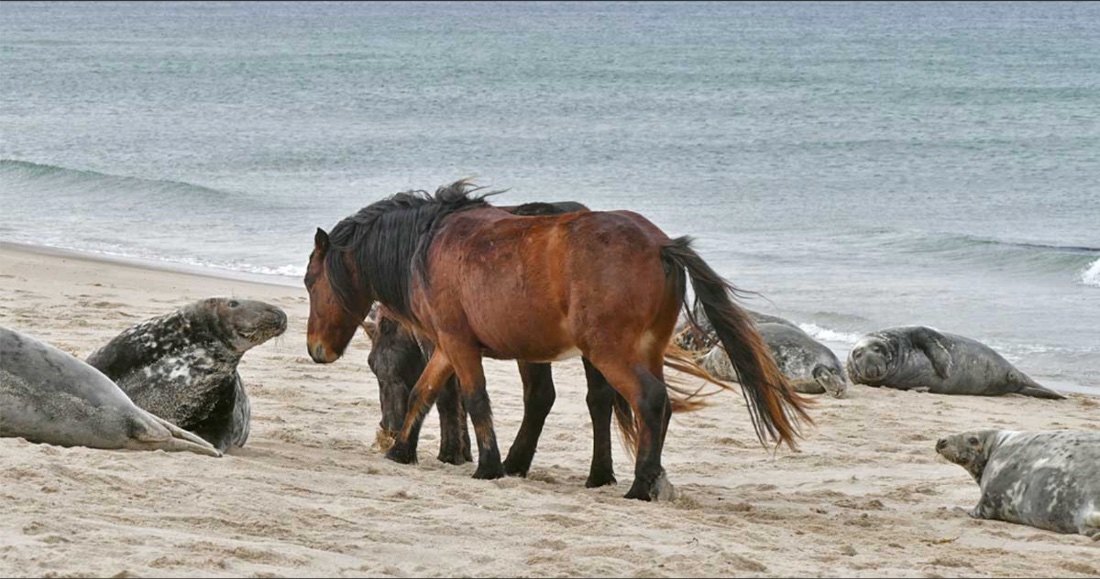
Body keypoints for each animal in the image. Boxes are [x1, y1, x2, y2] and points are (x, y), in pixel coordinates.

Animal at [305, 180, 811, 501]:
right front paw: (402, 452)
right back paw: (635, 479)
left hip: (610, 352)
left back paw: (639, 487)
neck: (429, 243)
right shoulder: (450, 345)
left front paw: (486, 466)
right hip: (643, 350)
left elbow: (473, 398)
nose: (316, 350)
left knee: (648, 401)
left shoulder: (458, 343)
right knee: (649, 406)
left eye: (312, 281)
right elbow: (424, 392)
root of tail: (661, 245)